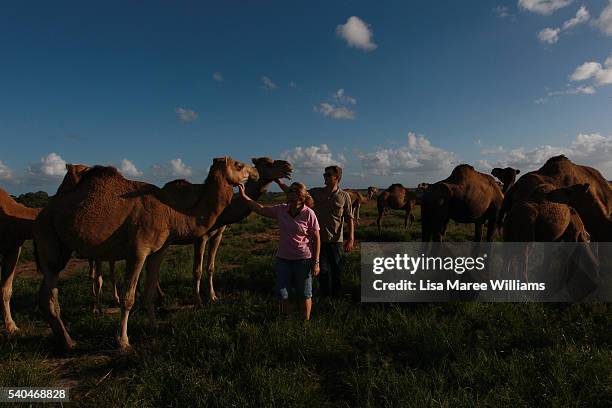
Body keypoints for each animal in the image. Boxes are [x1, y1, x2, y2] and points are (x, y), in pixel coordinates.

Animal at [34, 157, 256, 350]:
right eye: (238, 164)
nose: (254, 172)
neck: (172, 214)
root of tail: (42, 213)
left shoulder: (158, 251)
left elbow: (149, 292)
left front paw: (154, 327)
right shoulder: (138, 251)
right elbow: (128, 297)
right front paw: (123, 342)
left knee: (45, 294)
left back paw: (64, 340)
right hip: (48, 238)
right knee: (50, 293)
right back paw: (68, 341)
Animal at [158, 158, 292, 304]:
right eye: (268, 163)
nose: (288, 166)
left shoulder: (218, 234)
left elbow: (210, 267)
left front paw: (213, 296)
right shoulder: (200, 237)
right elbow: (197, 270)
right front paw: (198, 300)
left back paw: (161, 295)